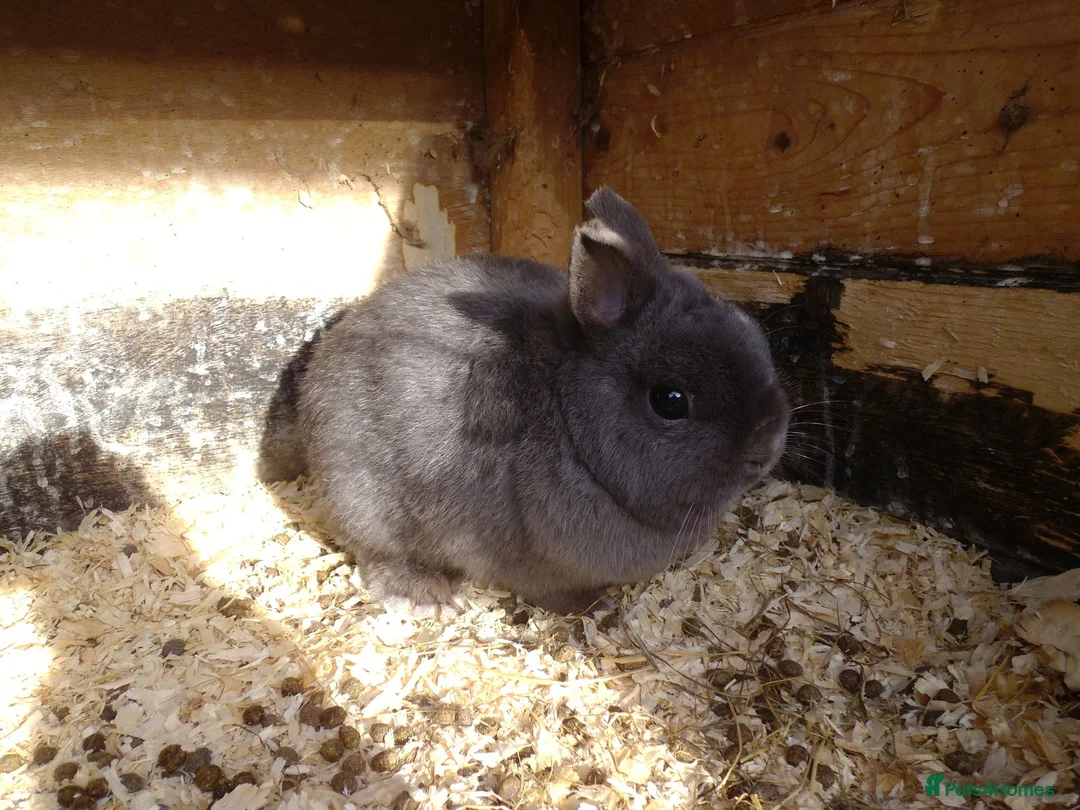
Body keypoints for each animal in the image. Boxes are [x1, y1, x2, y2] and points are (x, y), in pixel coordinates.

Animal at [297, 187, 789, 614]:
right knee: (376, 557)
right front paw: (596, 605)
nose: (765, 450)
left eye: (753, 334)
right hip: (369, 509)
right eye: (670, 400)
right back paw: (424, 596)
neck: (572, 427)